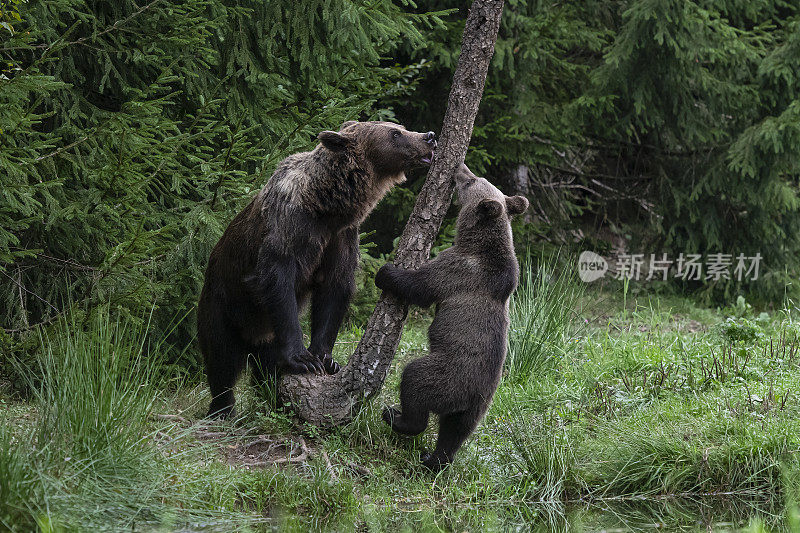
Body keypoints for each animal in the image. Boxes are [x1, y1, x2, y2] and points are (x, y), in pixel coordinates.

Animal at [200, 120, 438, 416]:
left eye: (401, 127)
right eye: (395, 133)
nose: (429, 136)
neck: (325, 204)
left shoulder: (341, 236)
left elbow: (335, 288)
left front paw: (326, 358)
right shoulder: (290, 224)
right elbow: (278, 279)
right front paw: (302, 358)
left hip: (262, 329)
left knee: (263, 367)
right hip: (224, 303)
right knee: (221, 360)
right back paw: (222, 408)